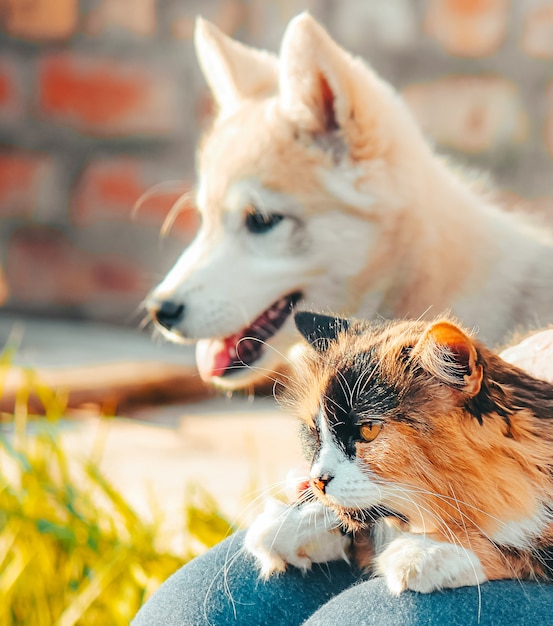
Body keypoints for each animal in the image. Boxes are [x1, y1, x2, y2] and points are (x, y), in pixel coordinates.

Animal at [245, 310, 552, 588]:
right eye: (315, 432)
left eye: (368, 430)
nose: (318, 480)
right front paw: (293, 523)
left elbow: (522, 546)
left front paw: (426, 551)